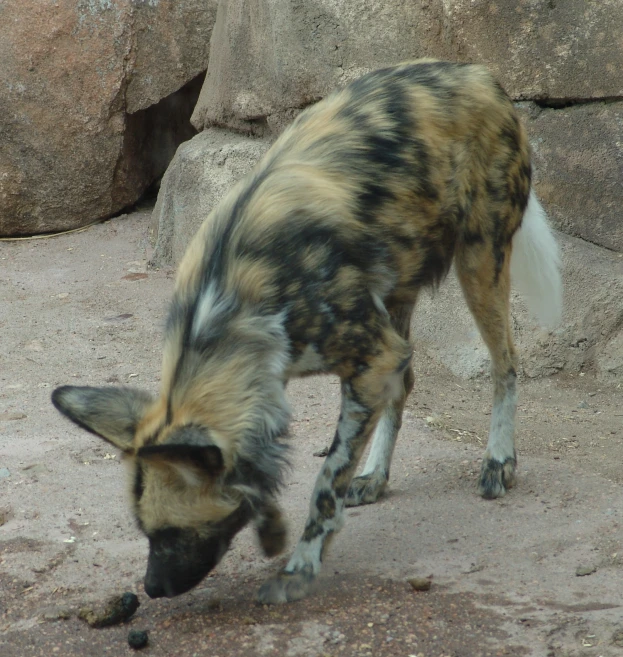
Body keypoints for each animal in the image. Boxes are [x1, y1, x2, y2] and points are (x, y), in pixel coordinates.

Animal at [52, 62, 560, 604]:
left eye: (170, 534)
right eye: (144, 532)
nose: (152, 588)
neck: (225, 307)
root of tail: (479, 74)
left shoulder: (370, 360)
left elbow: (324, 482)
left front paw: (298, 568)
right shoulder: (333, 366)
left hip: (479, 262)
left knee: (506, 364)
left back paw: (498, 461)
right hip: (396, 290)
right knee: (406, 384)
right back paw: (375, 476)